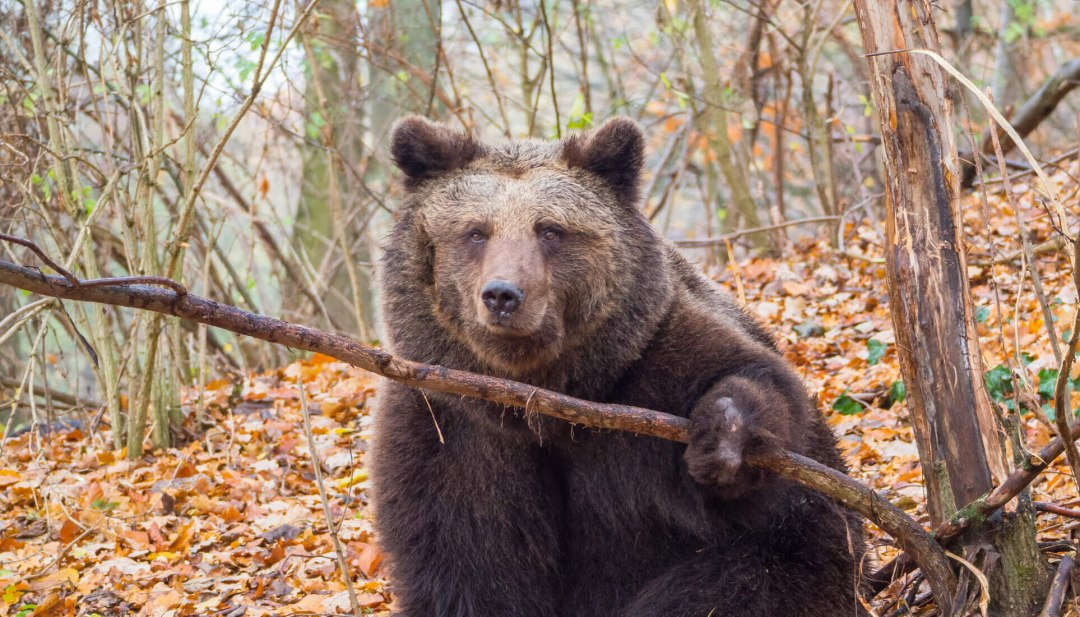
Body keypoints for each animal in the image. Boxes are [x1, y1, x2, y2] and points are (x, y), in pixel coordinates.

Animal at [372, 116, 864, 617]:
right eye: (476, 232)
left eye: (550, 230)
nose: (503, 295)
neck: (539, 398)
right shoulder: (448, 427)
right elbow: (466, 560)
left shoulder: (648, 372)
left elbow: (747, 380)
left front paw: (725, 439)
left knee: (740, 584)